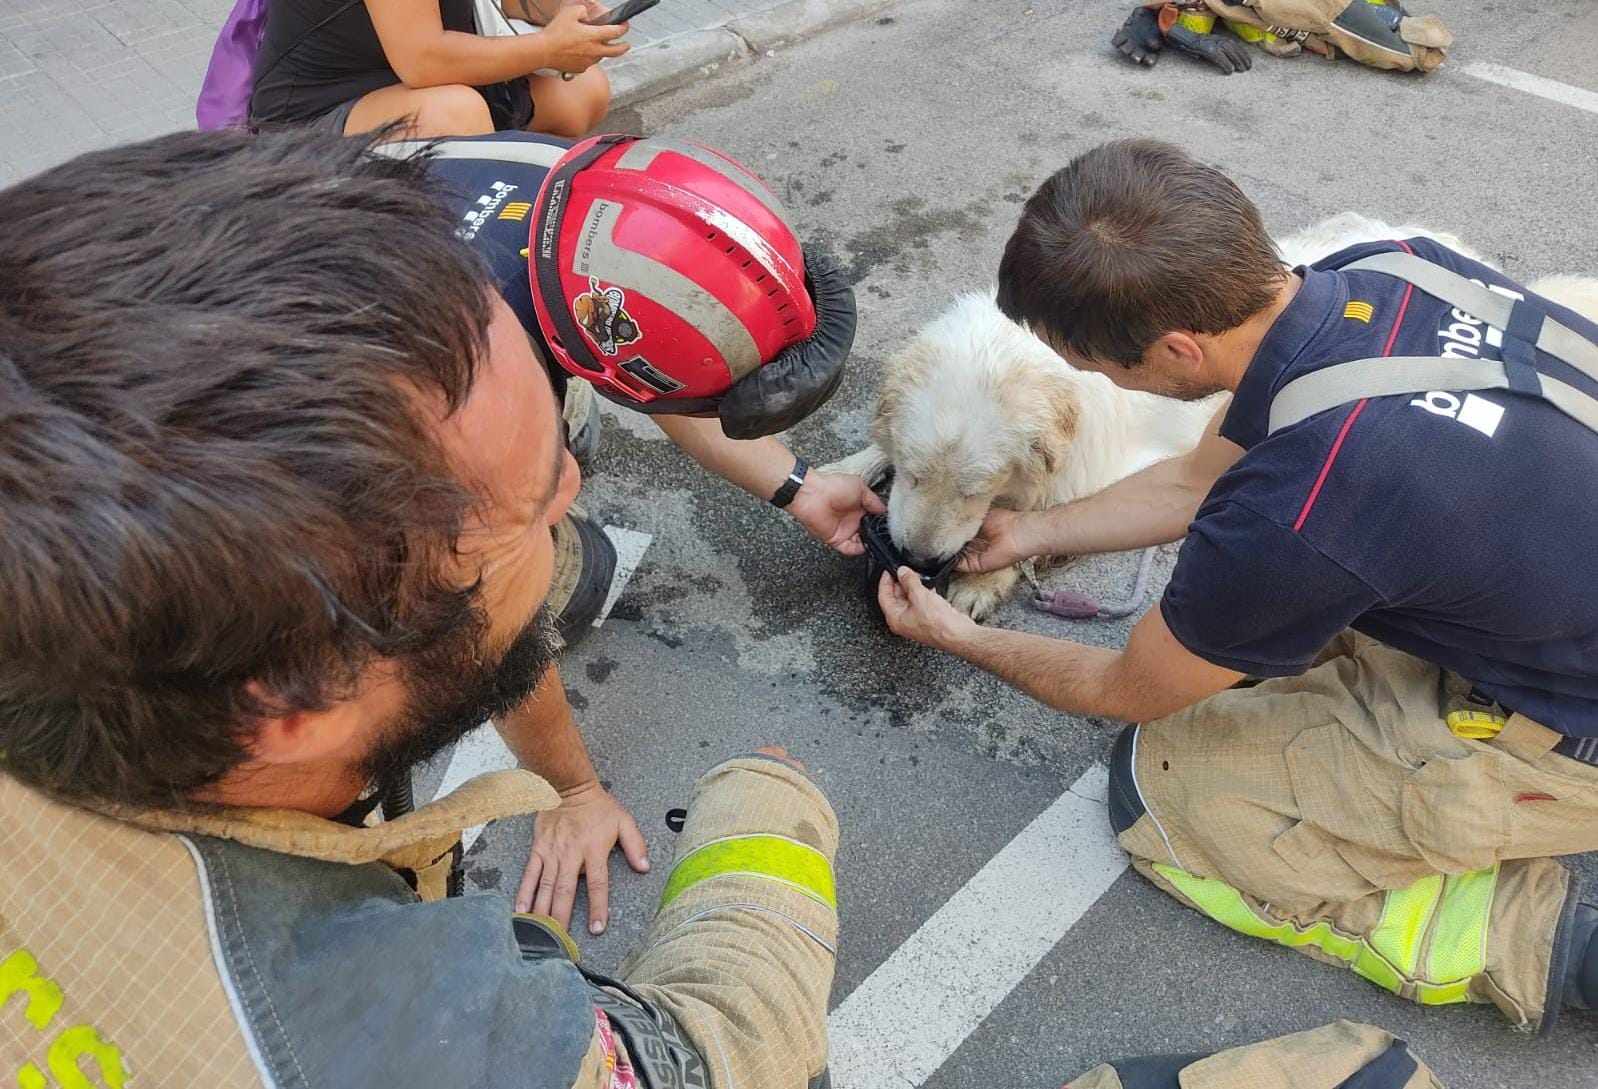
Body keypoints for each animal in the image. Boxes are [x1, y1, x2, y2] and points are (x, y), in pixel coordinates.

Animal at [830, 214, 1598, 620]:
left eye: (976, 489)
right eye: (917, 474)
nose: (919, 558)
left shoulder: (1118, 467)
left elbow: (1053, 513)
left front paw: (983, 577)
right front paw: (843, 472)